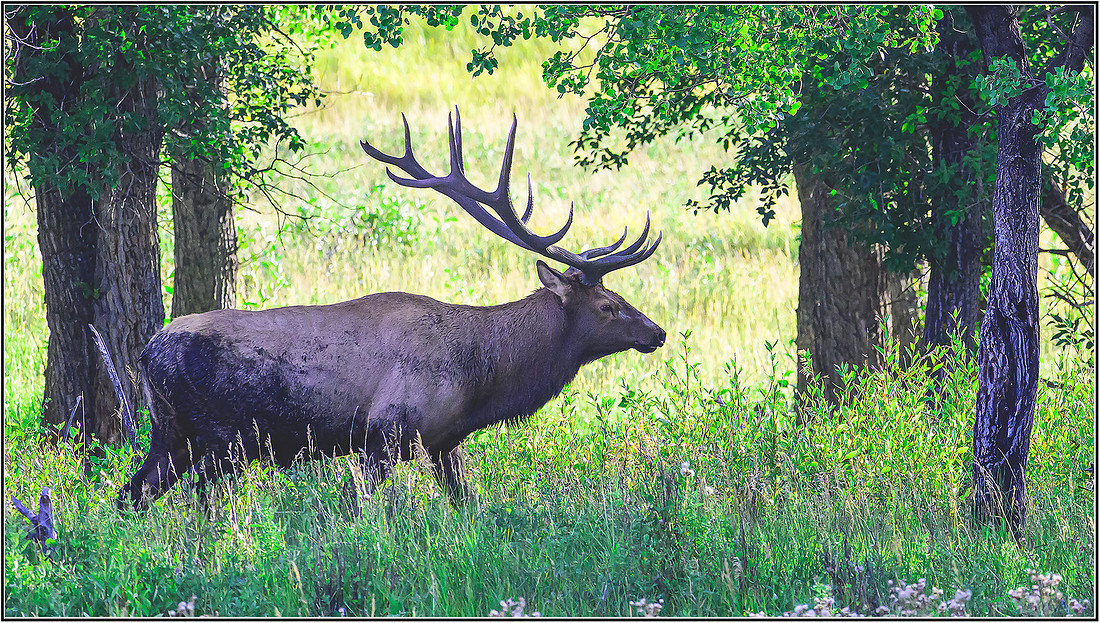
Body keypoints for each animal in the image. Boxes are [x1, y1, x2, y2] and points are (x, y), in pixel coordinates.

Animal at [118, 107, 666, 510]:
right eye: (609, 305)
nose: (657, 332)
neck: (480, 378)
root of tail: (148, 353)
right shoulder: (384, 433)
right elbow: (357, 509)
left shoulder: (444, 443)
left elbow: (469, 504)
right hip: (221, 437)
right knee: (194, 501)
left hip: (171, 433)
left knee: (131, 496)